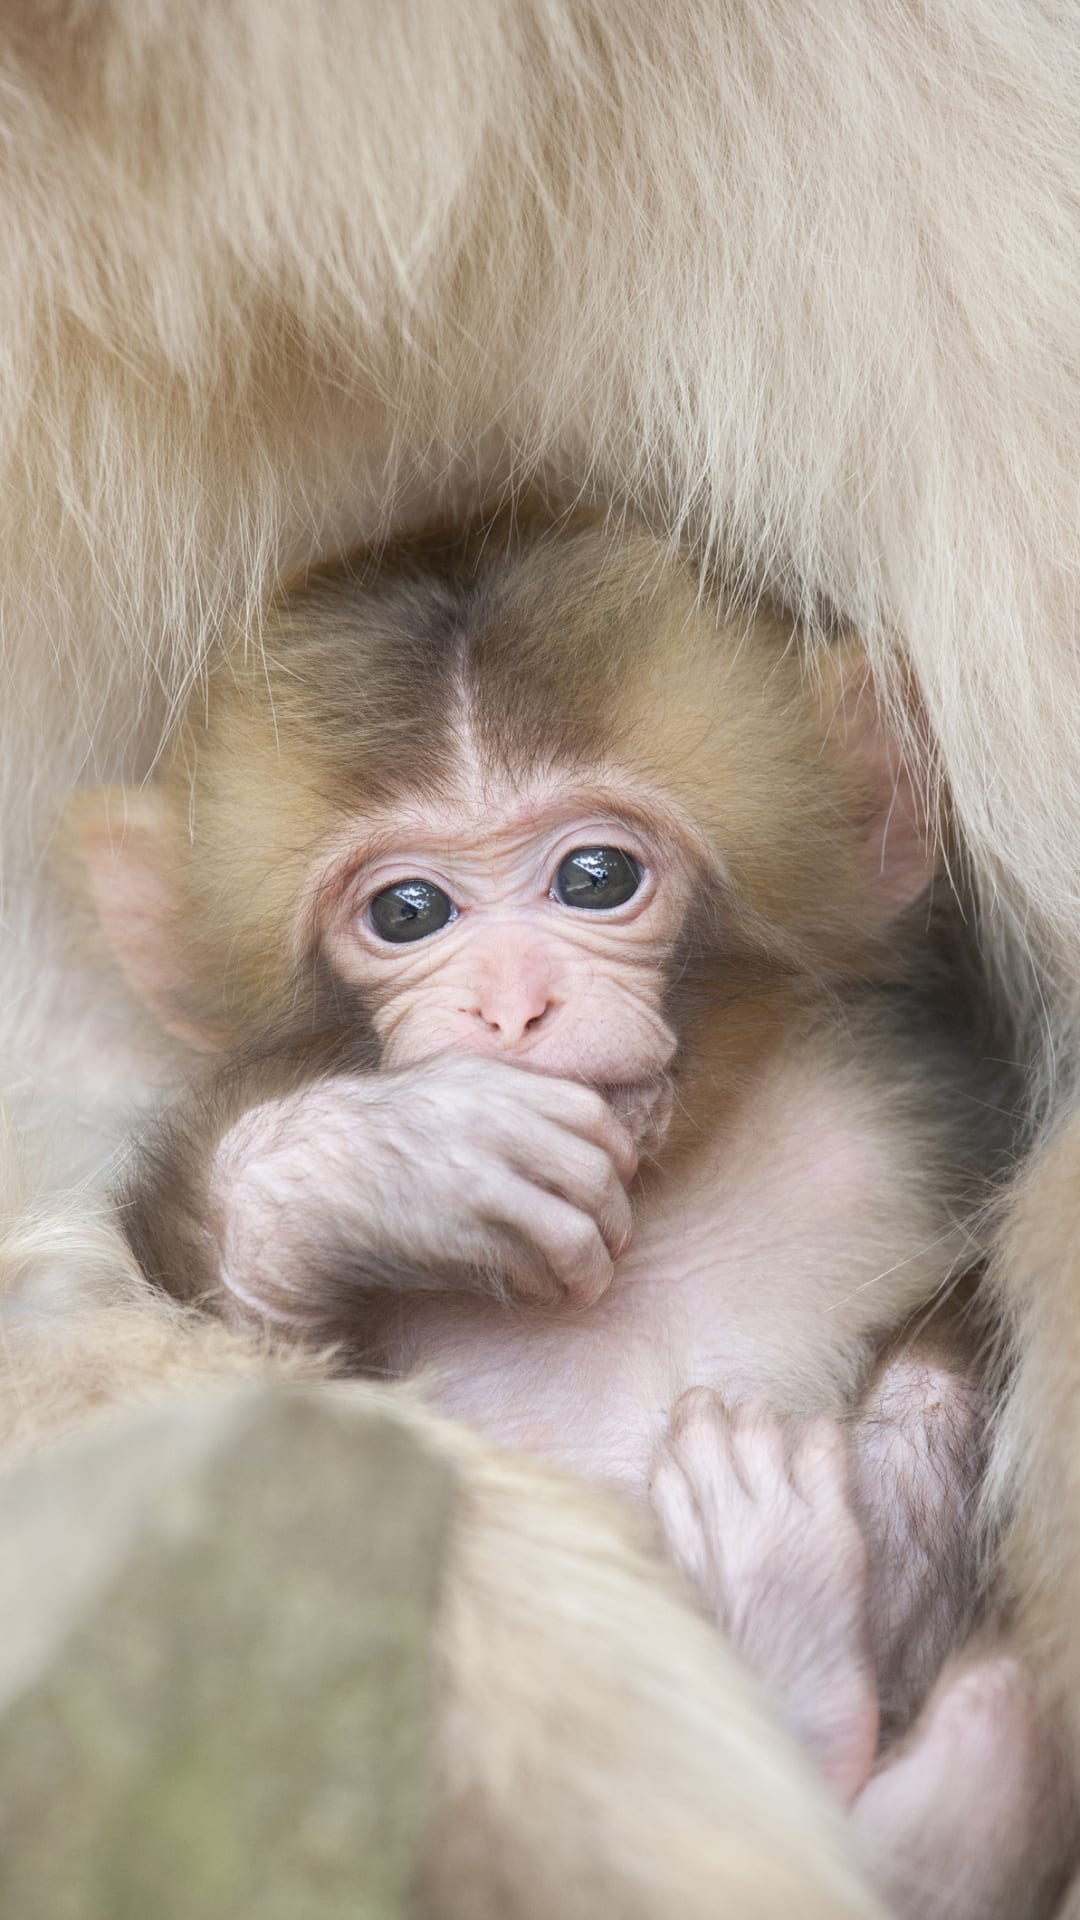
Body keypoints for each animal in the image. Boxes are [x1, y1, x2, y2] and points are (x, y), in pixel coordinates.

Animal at [73, 514, 1068, 1920]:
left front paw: (903, 1469)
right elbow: (275, 1423)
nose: (512, 1003)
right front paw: (392, 1164)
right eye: (408, 911)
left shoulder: (913, 1109)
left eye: (596, 877)